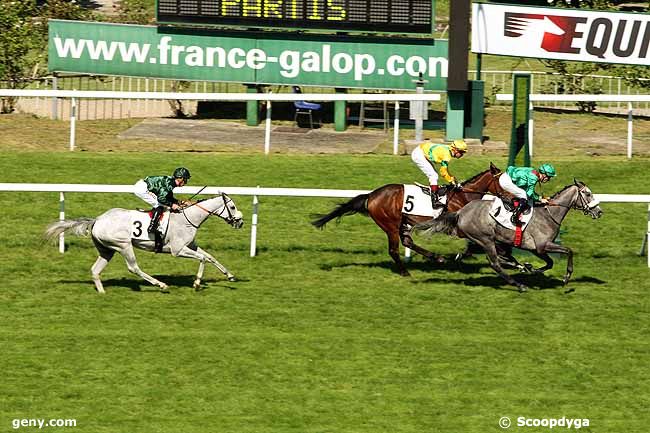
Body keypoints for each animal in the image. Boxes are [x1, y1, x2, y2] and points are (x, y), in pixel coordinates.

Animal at [44, 193, 243, 292]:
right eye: (232, 207)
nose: (240, 222)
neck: (187, 217)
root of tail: (97, 220)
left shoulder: (190, 245)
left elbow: (210, 257)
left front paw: (230, 275)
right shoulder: (177, 250)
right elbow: (202, 259)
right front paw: (197, 283)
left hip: (107, 250)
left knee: (95, 270)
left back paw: (102, 292)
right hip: (123, 245)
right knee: (133, 268)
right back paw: (161, 285)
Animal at [312, 164, 504, 276]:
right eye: (505, 182)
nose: (511, 197)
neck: (463, 196)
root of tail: (371, 196)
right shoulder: (456, 227)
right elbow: (474, 243)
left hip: (400, 223)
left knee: (407, 242)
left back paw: (437, 257)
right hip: (390, 224)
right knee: (394, 250)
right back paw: (405, 272)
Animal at [416, 179, 604, 290]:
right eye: (588, 194)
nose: (599, 212)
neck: (549, 213)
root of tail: (460, 212)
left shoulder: (537, 249)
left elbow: (549, 263)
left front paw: (532, 269)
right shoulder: (543, 245)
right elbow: (569, 251)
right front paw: (566, 277)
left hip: (490, 240)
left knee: (496, 258)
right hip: (486, 239)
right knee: (495, 263)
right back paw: (519, 285)